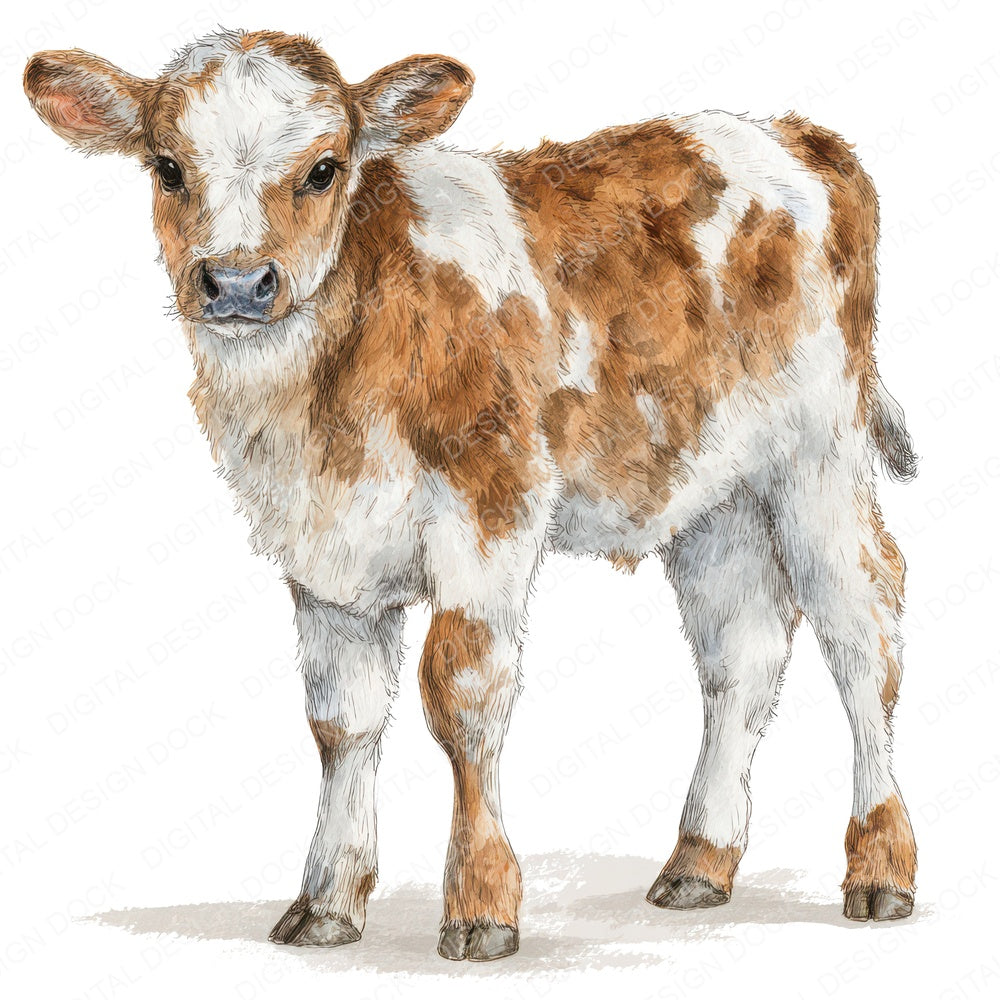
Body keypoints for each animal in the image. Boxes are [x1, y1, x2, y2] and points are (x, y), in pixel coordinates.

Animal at [24, 28, 918, 962]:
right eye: (166, 166)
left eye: (324, 169)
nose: (236, 283)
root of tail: (794, 134)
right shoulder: (323, 546)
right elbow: (341, 718)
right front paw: (327, 904)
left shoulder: (492, 511)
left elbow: (461, 693)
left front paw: (482, 904)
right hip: (714, 489)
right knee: (743, 648)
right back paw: (698, 864)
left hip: (820, 452)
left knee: (863, 629)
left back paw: (880, 869)